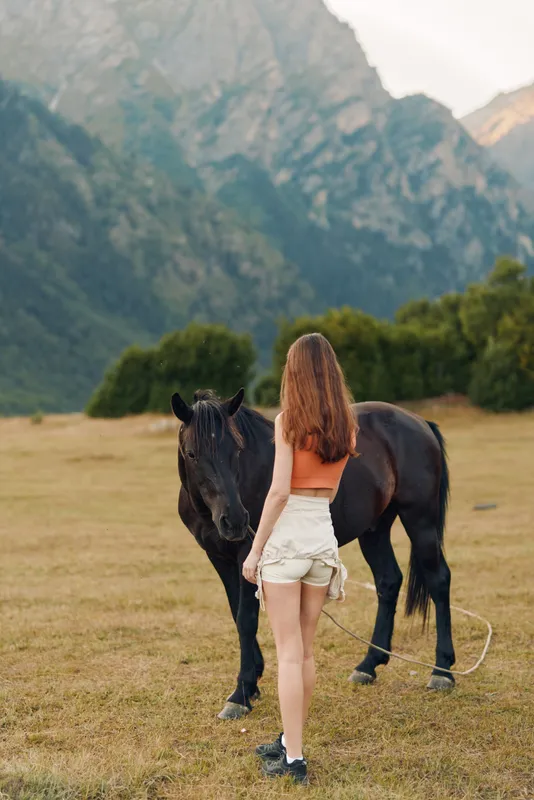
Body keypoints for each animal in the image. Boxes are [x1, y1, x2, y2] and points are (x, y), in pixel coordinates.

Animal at [171, 388, 455, 720]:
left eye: (237, 449)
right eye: (192, 453)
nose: (235, 521)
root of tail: (419, 422)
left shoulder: (246, 553)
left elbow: (246, 618)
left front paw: (240, 694)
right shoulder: (219, 558)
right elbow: (236, 613)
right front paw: (252, 682)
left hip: (420, 522)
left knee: (439, 581)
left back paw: (442, 671)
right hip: (374, 529)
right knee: (388, 581)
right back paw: (369, 665)